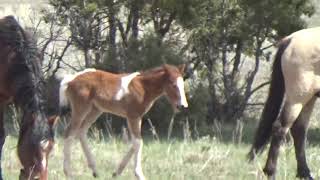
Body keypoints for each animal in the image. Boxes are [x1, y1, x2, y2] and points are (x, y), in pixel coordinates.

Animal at [58, 64, 188, 179]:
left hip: (95, 110)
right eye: (173, 84)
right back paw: (69, 173)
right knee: (69, 133)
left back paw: (95, 171)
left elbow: (137, 142)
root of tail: (70, 79)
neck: (143, 87)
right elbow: (138, 142)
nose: (183, 106)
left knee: (81, 131)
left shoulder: (138, 117)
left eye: (182, 84)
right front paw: (139, 175)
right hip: (81, 109)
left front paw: (116, 172)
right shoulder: (133, 116)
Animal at [249, 27, 320, 180]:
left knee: (299, 130)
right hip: (298, 98)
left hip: (309, 98)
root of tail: (291, 39)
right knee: (280, 128)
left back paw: (304, 173)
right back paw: (271, 172)